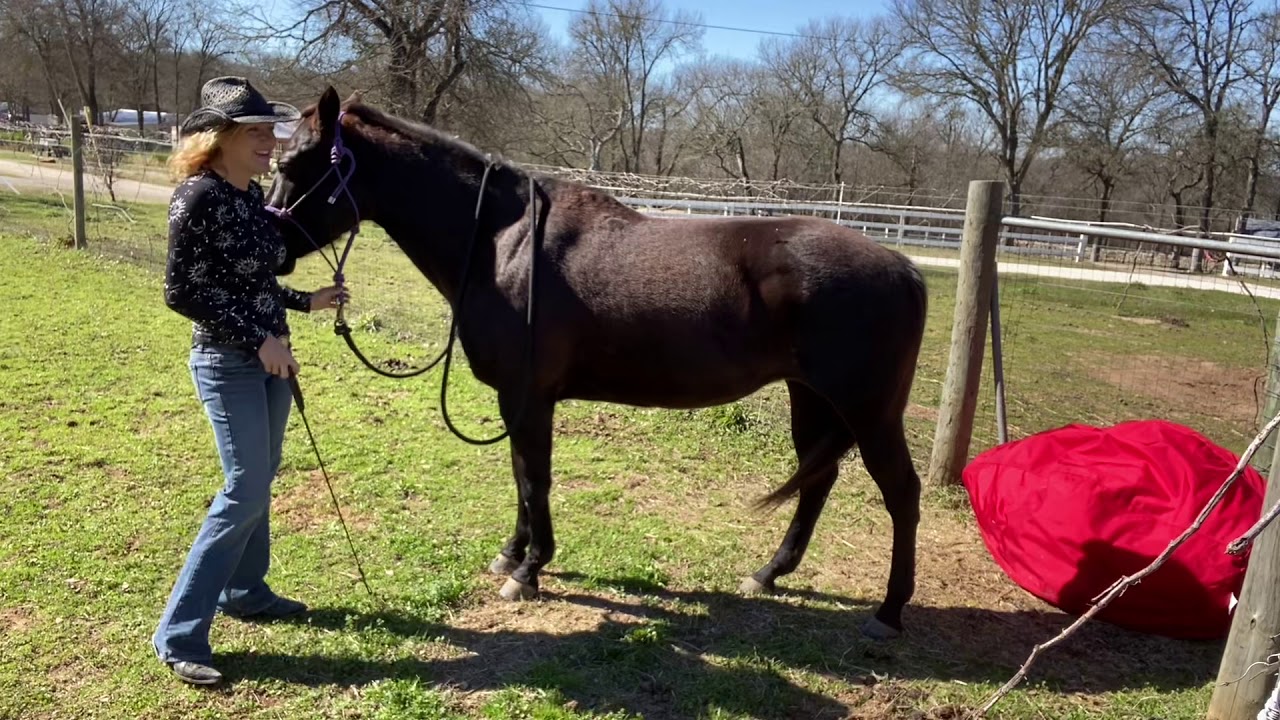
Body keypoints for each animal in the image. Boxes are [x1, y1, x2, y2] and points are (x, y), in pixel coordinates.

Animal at [266, 86, 929, 639]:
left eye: (295, 165)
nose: (270, 250)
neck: (503, 245)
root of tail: (905, 267)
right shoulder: (519, 400)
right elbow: (521, 476)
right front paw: (512, 555)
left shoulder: (528, 397)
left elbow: (534, 479)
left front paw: (529, 571)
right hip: (810, 397)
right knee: (818, 479)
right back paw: (769, 573)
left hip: (869, 411)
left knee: (901, 492)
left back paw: (888, 612)